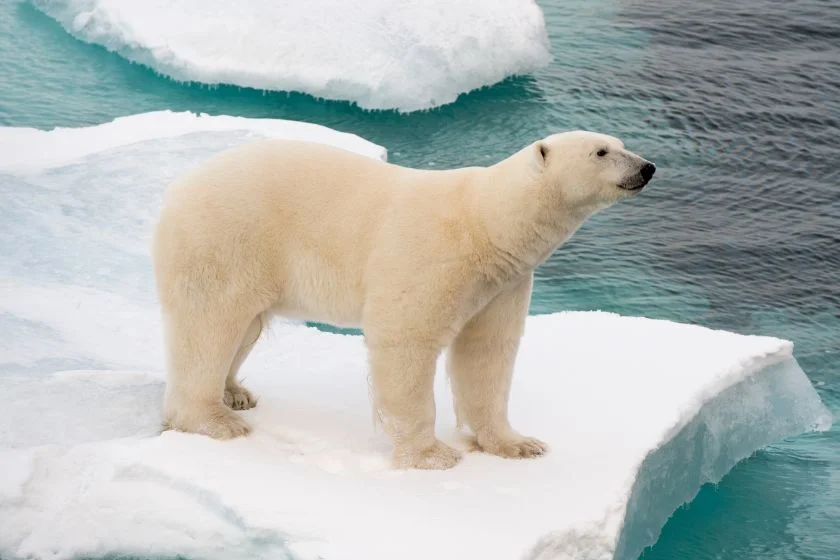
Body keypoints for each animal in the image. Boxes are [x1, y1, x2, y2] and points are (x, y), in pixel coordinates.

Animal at [151, 130, 656, 468]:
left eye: (620, 142)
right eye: (601, 151)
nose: (647, 167)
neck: (485, 223)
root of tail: (177, 188)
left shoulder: (502, 283)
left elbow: (488, 353)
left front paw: (517, 444)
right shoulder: (433, 255)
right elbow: (406, 340)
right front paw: (432, 455)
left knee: (244, 327)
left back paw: (235, 393)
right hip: (226, 238)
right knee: (210, 324)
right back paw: (214, 420)